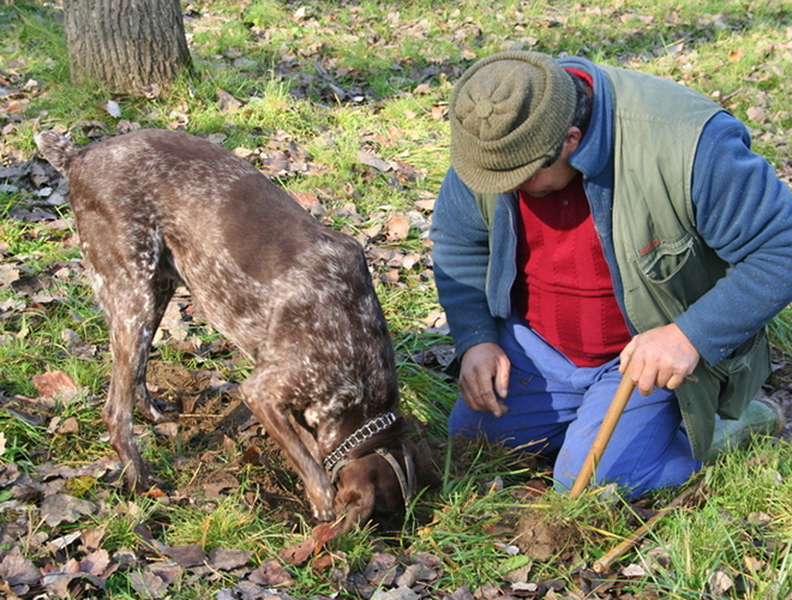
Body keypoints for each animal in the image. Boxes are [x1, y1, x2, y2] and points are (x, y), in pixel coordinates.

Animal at [34, 127, 436, 528]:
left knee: (136, 374)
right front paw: (323, 509)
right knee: (116, 413)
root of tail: (79, 156)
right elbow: (314, 470)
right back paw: (140, 478)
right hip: (135, 293)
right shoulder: (262, 393)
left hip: (157, 289)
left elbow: (308, 450)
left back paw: (153, 413)